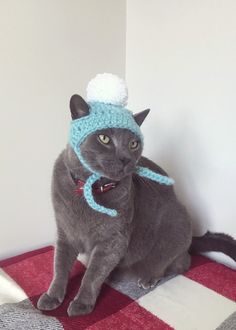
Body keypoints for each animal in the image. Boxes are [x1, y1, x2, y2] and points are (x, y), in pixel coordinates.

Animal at [37, 94, 236, 316]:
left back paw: (147, 277)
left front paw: (82, 304)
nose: (125, 158)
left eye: (133, 143)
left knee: (179, 263)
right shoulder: (65, 232)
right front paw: (52, 296)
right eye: (104, 138)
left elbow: (92, 275)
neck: (88, 190)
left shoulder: (113, 241)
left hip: (176, 224)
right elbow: (60, 267)